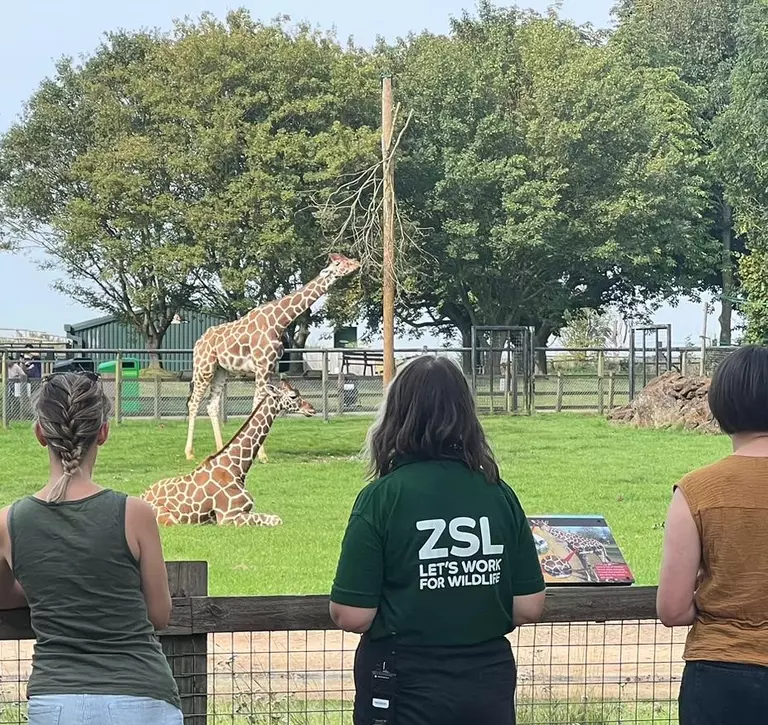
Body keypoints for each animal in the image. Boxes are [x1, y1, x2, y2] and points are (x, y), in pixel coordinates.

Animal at [143, 380, 315, 526]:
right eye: (293, 396)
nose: (312, 409)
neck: (236, 469)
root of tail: (143, 495)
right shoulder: (228, 516)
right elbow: (277, 520)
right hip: (171, 519)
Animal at [184, 253, 360, 462]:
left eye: (347, 258)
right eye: (339, 263)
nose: (357, 264)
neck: (279, 321)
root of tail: (198, 343)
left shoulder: (271, 366)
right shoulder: (262, 364)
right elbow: (257, 402)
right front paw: (262, 455)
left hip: (221, 370)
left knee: (212, 404)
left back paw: (220, 448)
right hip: (204, 367)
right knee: (194, 402)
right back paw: (189, 453)